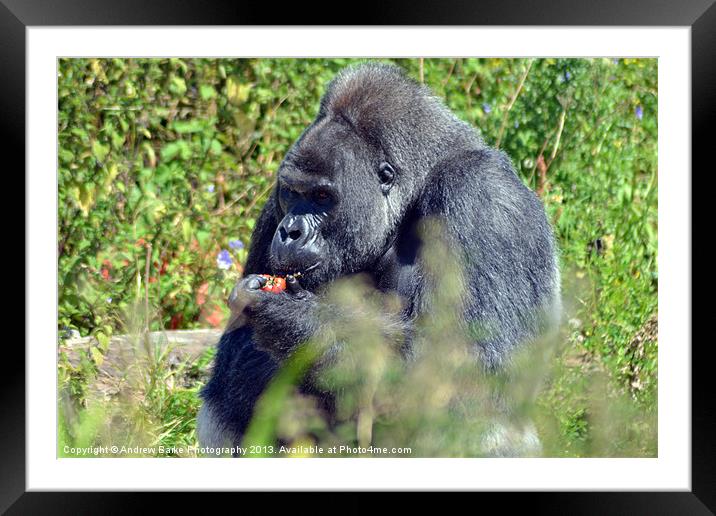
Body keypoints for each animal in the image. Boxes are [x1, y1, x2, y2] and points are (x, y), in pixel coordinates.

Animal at [199, 62, 564, 454]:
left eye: (322, 196)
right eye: (293, 193)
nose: (290, 231)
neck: (413, 192)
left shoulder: (482, 194)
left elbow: (469, 362)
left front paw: (294, 319)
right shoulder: (273, 207)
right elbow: (235, 357)